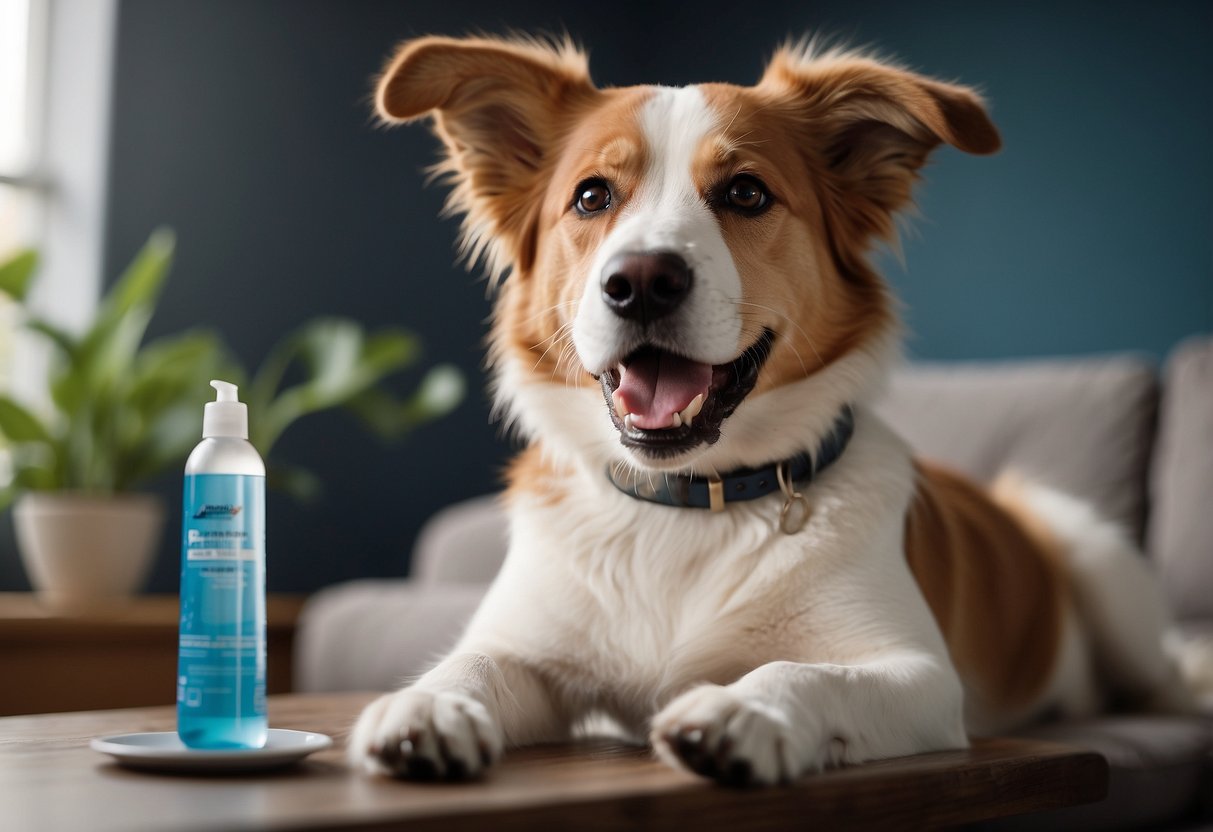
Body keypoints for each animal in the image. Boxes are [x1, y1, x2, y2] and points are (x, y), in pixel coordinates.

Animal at [346, 34, 1208, 790]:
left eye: (745, 192)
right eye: (591, 196)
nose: (640, 282)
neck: (689, 505)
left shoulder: (919, 677)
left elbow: (799, 670)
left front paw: (741, 712)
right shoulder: (530, 648)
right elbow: (475, 661)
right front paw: (426, 704)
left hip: (1093, 553)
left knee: (1162, 674)